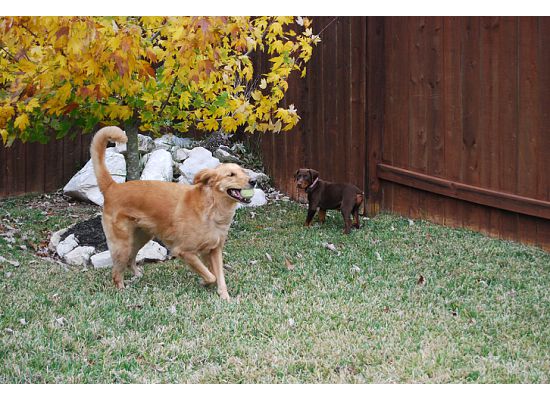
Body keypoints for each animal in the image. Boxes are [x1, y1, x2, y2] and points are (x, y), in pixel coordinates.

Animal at [91, 126, 256, 298]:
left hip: (140, 237)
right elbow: (211, 275)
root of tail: (112, 187)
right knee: (116, 273)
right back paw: (122, 289)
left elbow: (218, 276)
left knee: (130, 259)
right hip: (122, 245)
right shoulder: (184, 251)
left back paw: (137, 275)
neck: (212, 207)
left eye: (243, 172)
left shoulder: (214, 250)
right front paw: (205, 282)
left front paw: (224, 296)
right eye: (231, 175)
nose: (254, 181)